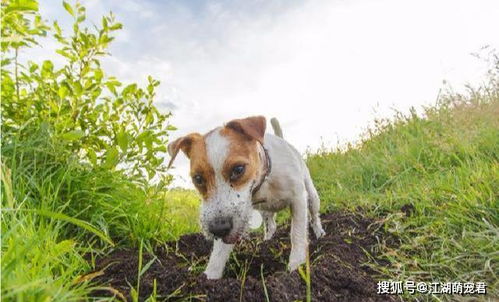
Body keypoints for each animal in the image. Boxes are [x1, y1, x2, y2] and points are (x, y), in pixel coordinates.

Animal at [166, 115, 326, 278]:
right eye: (198, 179)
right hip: (264, 211)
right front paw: (210, 276)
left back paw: (319, 233)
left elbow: (297, 233)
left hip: (312, 197)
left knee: (314, 216)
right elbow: (218, 253)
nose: (217, 229)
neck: (264, 180)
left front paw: (296, 265)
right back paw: (267, 241)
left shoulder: (298, 198)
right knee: (271, 226)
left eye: (238, 169)